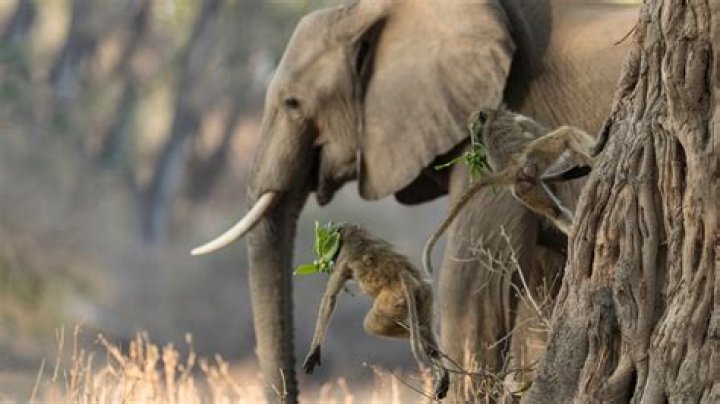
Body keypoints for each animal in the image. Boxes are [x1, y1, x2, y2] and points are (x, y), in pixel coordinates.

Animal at [302, 223, 450, 400]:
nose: (329, 257)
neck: (358, 236)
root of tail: (408, 278)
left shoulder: (343, 260)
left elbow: (329, 299)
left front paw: (313, 352)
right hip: (425, 296)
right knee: (425, 324)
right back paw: (440, 367)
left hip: (392, 301)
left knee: (372, 325)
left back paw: (424, 339)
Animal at [423, 107, 596, 274]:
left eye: (476, 134)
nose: (475, 143)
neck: (492, 117)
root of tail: (512, 169)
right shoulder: (517, 119)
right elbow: (538, 132)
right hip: (533, 157)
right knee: (565, 133)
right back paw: (595, 149)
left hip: (523, 189)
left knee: (555, 212)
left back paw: (573, 231)